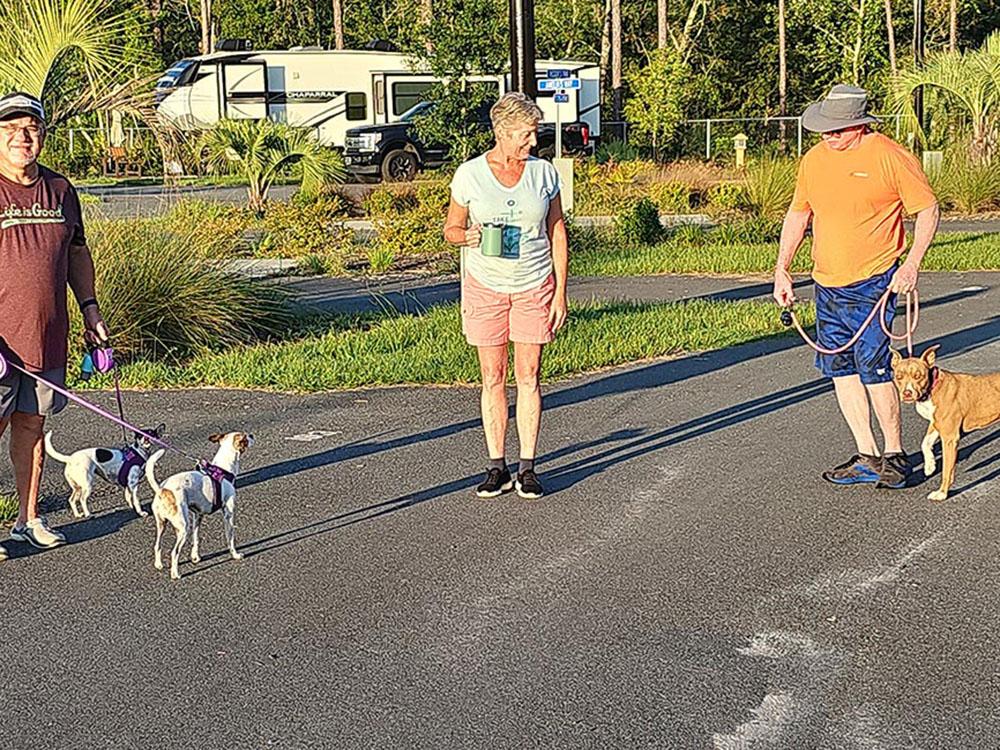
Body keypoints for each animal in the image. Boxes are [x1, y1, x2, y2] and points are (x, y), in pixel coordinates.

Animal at [145, 428, 254, 580]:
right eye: (245, 437)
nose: (252, 435)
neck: (223, 469)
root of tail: (163, 490)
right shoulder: (228, 513)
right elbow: (230, 537)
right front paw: (235, 555)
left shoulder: (198, 515)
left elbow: (196, 538)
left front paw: (195, 557)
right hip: (183, 528)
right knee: (174, 552)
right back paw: (175, 573)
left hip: (162, 524)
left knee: (157, 545)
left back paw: (159, 564)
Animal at [892, 348, 1000, 502]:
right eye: (899, 376)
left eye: (918, 376)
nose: (907, 393)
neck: (933, 388)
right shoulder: (936, 423)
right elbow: (925, 443)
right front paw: (929, 466)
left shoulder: (950, 438)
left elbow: (946, 470)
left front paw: (942, 493)